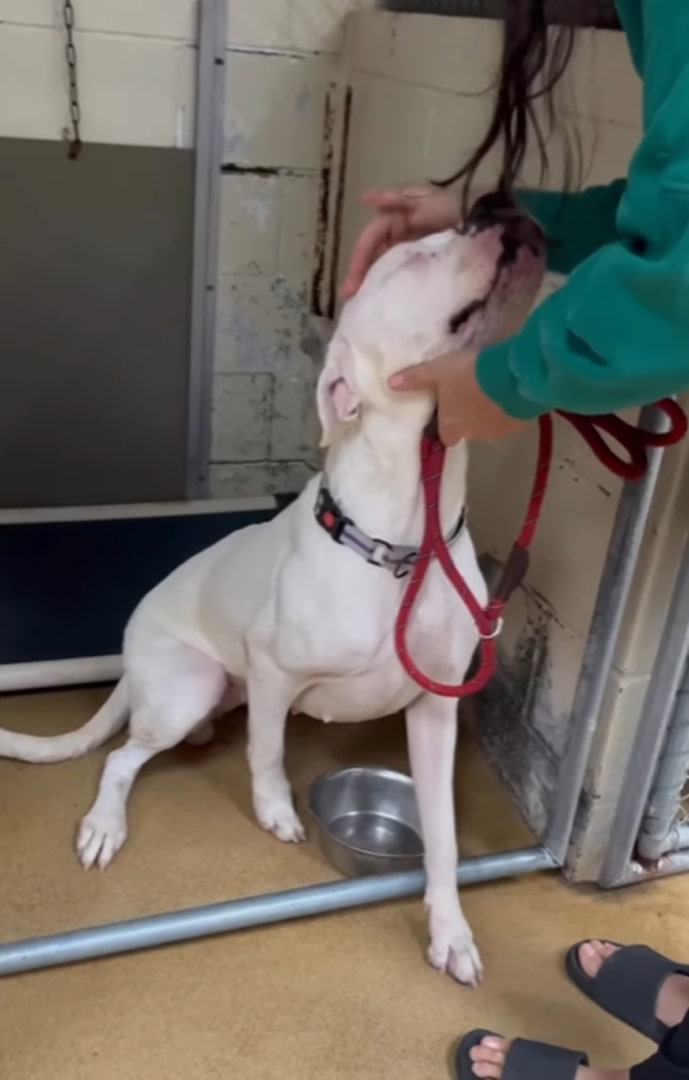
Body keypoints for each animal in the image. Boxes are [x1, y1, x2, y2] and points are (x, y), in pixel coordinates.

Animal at [0, 204, 544, 989]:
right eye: (412, 259)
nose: (499, 207)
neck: (402, 546)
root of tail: (132, 658)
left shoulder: (436, 708)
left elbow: (442, 835)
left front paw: (451, 932)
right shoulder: (272, 671)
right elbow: (267, 752)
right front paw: (275, 812)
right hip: (188, 687)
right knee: (121, 758)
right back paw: (106, 824)